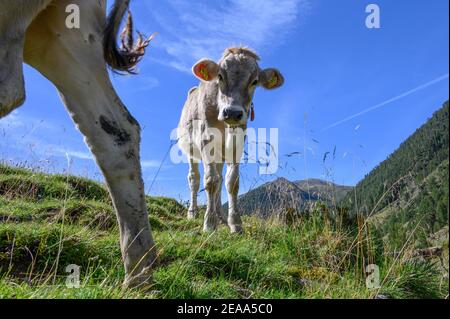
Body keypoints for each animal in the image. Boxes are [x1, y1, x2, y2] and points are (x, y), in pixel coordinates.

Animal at [178, 47, 284, 232]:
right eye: (220, 76)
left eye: (254, 81)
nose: (233, 113)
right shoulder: (205, 140)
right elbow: (210, 181)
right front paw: (209, 223)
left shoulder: (237, 142)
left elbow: (232, 181)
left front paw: (234, 222)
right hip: (191, 150)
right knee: (194, 178)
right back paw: (193, 212)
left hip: (220, 155)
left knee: (220, 179)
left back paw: (221, 216)